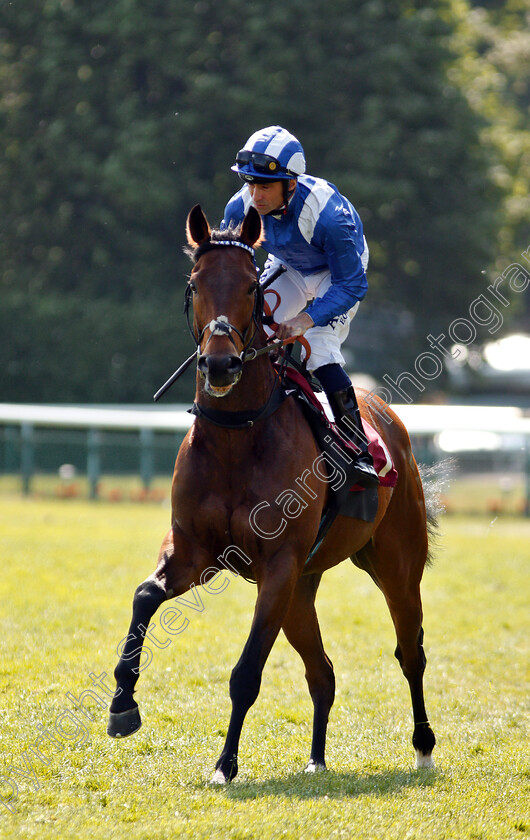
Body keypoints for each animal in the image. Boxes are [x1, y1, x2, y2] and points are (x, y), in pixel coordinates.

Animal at [105, 203, 436, 780]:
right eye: (195, 283)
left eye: (250, 289)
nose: (220, 364)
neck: (237, 437)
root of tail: (386, 414)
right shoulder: (196, 552)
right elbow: (145, 594)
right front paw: (123, 703)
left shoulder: (278, 564)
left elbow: (246, 672)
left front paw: (225, 764)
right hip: (303, 588)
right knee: (322, 671)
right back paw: (317, 759)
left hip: (394, 563)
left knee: (409, 651)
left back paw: (421, 745)